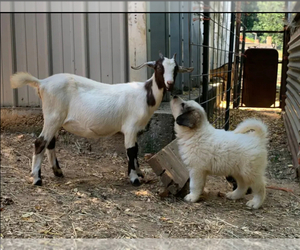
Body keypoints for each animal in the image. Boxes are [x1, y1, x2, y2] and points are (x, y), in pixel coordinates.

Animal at [9, 52, 195, 186]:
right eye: (158, 67)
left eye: (175, 69)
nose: (169, 83)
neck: (145, 94)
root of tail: (42, 83)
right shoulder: (130, 127)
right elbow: (131, 150)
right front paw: (134, 178)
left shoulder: (135, 130)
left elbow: (136, 149)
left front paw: (140, 172)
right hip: (53, 116)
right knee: (40, 142)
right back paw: (37, 179)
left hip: (55, 119)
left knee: (50, 143)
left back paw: (57, 172)